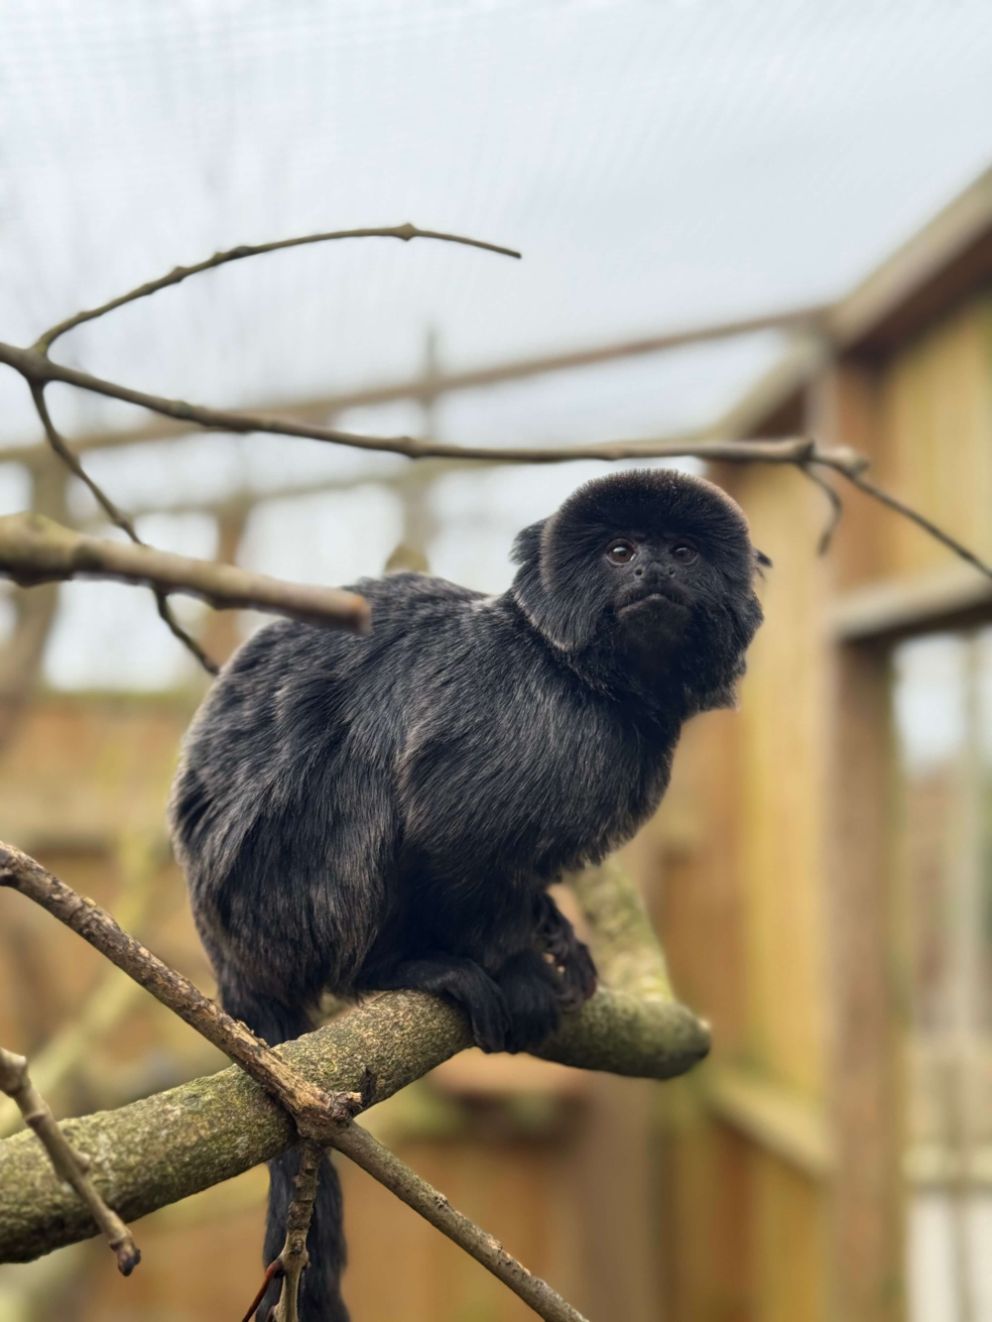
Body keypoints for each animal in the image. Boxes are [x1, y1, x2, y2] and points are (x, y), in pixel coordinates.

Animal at [168, 468, 767, 1320]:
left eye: (682, 552)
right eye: (621, 552)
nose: (654, 571)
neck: (580, 684)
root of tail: (227, 953)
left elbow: (524, 871)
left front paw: (553, 932)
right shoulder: (510, 727)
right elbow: (447, 832)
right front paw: (510, 964)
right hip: (279, 891)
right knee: (359, 782)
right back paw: (402, 966)